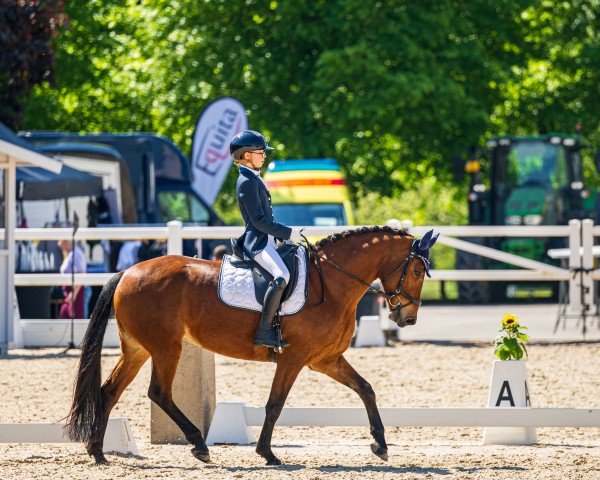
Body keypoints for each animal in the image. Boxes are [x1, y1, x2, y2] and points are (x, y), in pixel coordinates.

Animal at [65, 225, 438, 464]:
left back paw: (98, 452)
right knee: (158, 393)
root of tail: (127, 272)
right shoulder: (294, 358)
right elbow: (275, 404)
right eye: (417, 271)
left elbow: (366, 389)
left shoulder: (325, 359)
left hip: (139, 349)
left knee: (109, 391)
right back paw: (199, 445)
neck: (331, 283)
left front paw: (380, 445)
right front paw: (267, 453)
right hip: (167, 348)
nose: (408, 319)